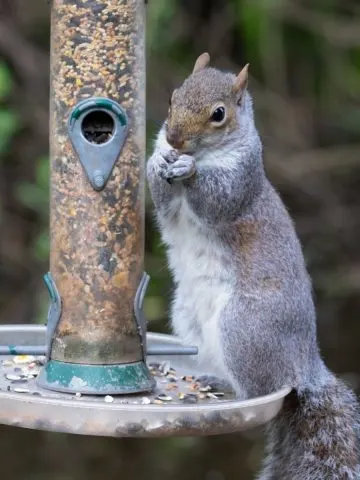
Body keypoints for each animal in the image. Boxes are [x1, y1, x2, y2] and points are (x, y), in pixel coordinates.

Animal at [146, 53, 360, 480]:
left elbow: (217, 200)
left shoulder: (240, 182)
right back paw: (210, 376)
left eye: (219, 114)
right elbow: (161, 198)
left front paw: (188, 171)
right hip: (188, 318)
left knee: (258, 390)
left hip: (245, 328)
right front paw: (161, 160)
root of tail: (305, 364)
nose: (175, 139)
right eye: (173, 98)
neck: (205, 154)